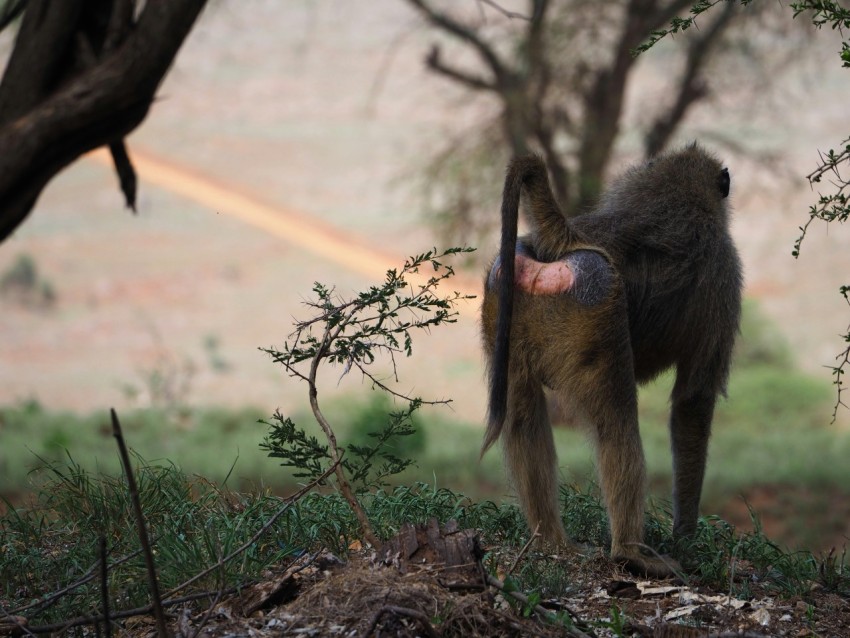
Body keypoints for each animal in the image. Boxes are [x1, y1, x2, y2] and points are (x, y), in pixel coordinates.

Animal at [480, 143, 742, 578]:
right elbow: (694, 401)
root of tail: (567, 243)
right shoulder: (725, 272)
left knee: (522, 419)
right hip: (598, 299)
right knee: (616, 426)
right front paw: (686, 538)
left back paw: (550, 541)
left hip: (504, 285)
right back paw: (631, 554)